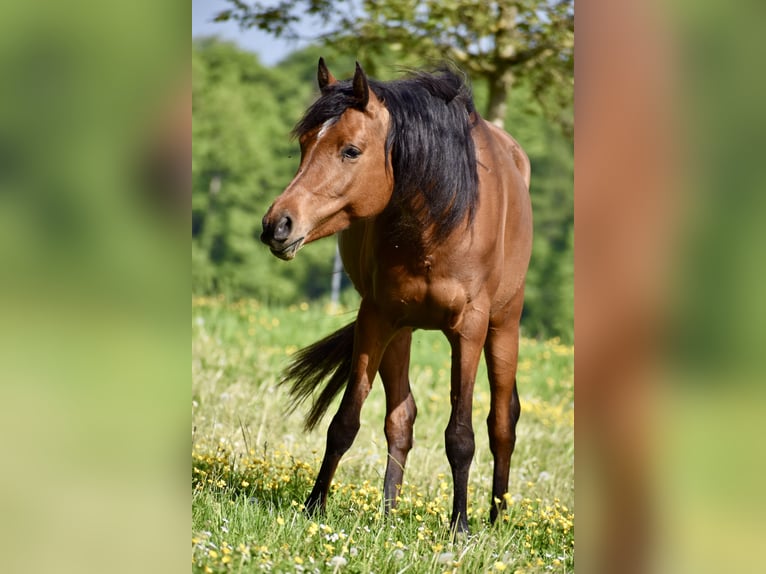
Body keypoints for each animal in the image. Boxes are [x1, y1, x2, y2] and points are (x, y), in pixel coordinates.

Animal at [260, 59, 532, 533]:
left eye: (351, 150)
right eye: (304, 144)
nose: (277, 224)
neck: (437, 222)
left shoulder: (470, 328)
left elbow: (461, 434)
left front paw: (460, 526)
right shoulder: (377, 318)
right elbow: (346, 421)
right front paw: (314, 506)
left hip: (504, 327)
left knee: (502, 421)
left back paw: (496, 516)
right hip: (400, 332)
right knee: (401, 419)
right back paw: (388, 512)